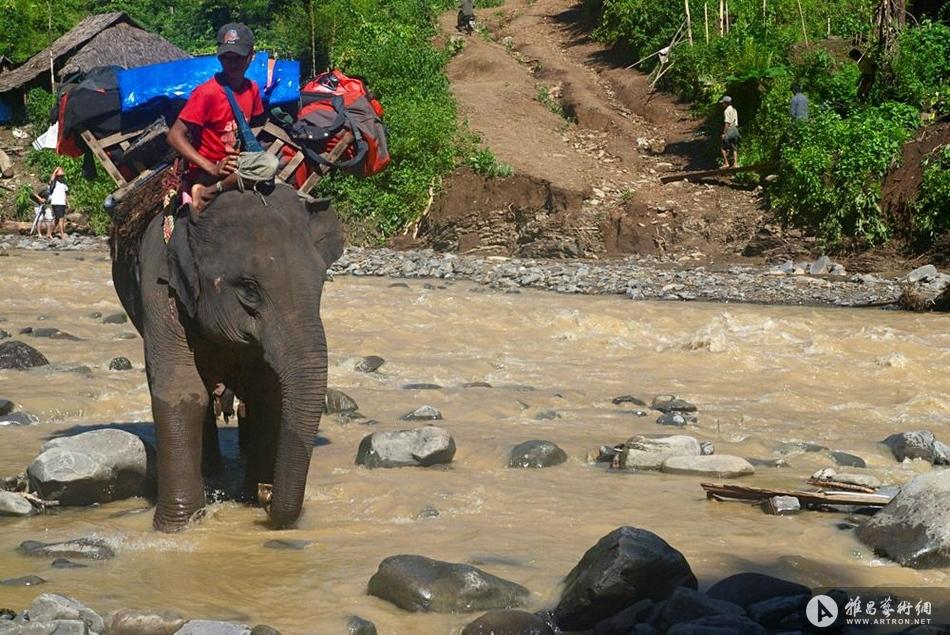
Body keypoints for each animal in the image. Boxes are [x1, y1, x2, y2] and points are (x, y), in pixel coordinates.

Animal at [112, 184, 342, 532]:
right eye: (249, 288)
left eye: (322, 284)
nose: (267, 493)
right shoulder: (158, 286)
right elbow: (182, 392)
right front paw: (177, 527)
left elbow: (268, 393)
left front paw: (250, 498)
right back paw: (212, 472)